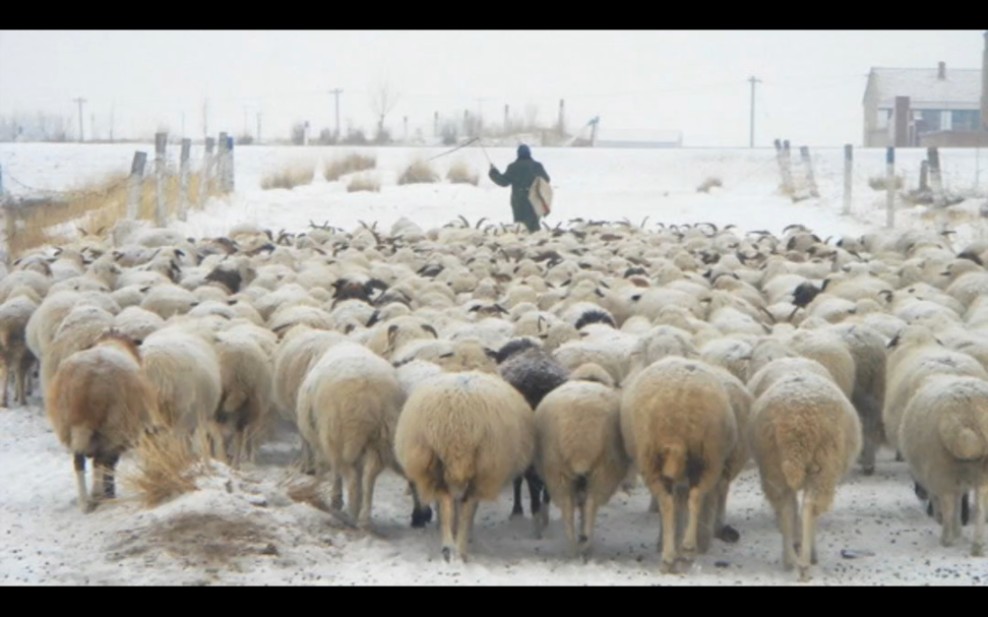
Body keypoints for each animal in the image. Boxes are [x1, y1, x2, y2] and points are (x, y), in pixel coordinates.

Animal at [294, 340, 406, 528]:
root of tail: (367, 395)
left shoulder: (325, 442)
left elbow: (333, 471)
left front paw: (335, 498)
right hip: (379, 437)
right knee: (369, 476)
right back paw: (363, 517)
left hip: (339, 436)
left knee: (350, 476)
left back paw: (351, 511)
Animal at [536, 358, 628, 556]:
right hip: (604, 468)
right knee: (591, 504)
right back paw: (586, 543)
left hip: (556, 468)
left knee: (568, 506)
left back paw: (573, 543)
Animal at [620, 356, 736, 572]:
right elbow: (682, 502)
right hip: (710, 458)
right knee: (696, 496)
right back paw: (688, 549)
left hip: (650, 458)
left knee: (666, 503)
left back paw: (668, 557)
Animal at [748, 358, 856, 580]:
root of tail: (797, 422)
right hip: (824, 464)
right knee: (809, 507)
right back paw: (806, 561)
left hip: (773, 464)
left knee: (786, 507)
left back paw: (789, 558)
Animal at [904, 372, 988, 556]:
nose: (919, 493)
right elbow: (960, 501)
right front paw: (958, 531)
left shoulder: (935, 477)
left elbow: (947, 503)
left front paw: (950, 527)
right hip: (982, 471)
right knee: (980, 508)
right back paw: (977, 545)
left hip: (943, 468)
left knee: (949, 504)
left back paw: (946, 539)